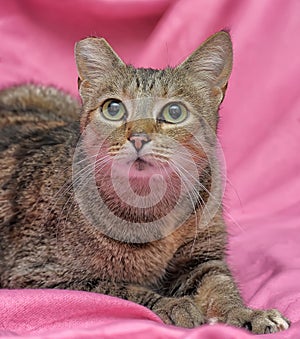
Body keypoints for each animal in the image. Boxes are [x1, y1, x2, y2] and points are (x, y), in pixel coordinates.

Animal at [0, 31, 290, 334]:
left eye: (174, 112)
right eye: (113, 108)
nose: (138, 137)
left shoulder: (203, 259)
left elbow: (222, 288)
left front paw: (249, 313)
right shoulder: (41, 274)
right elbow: (121, 289)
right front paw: (173, 304)